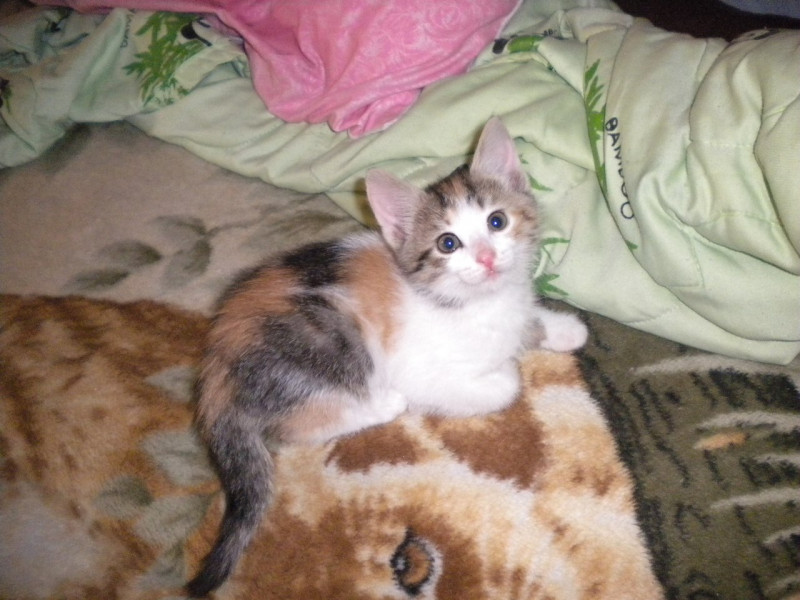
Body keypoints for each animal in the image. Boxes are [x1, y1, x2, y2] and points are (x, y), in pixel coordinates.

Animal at [186, 117, 588, 597]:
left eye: (497, 221)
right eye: (448, 243)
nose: (488, 258)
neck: (465, 301)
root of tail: (215, 372)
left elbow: (526, 323)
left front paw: (561, 328)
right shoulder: (421, 370)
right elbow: (505, 384)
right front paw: (507, 367)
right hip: (326, 339)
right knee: (297, 427)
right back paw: (382, 405)